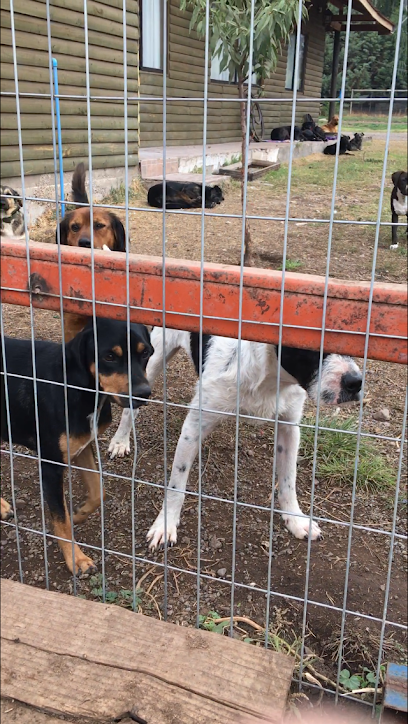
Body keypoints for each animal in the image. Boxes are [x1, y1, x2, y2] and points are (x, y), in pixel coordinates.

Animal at [0, 320, 153, 576]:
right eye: (109, 356)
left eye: (146, 353)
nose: (143, 394)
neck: (76, 386)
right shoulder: (51, 466)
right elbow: (61, 521)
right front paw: (76, 559)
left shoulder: (83, 446)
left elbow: (98, 492)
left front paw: (79, 514)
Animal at [107, 328, 360, 548]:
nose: (355, 382)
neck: (271, 377)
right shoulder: (193, 428)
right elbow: (176, 486)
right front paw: (165, 525)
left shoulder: (289, 428)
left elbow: (288, 481)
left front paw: (295, 519)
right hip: (155, 357)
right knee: (130, 408)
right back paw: (121, 440)